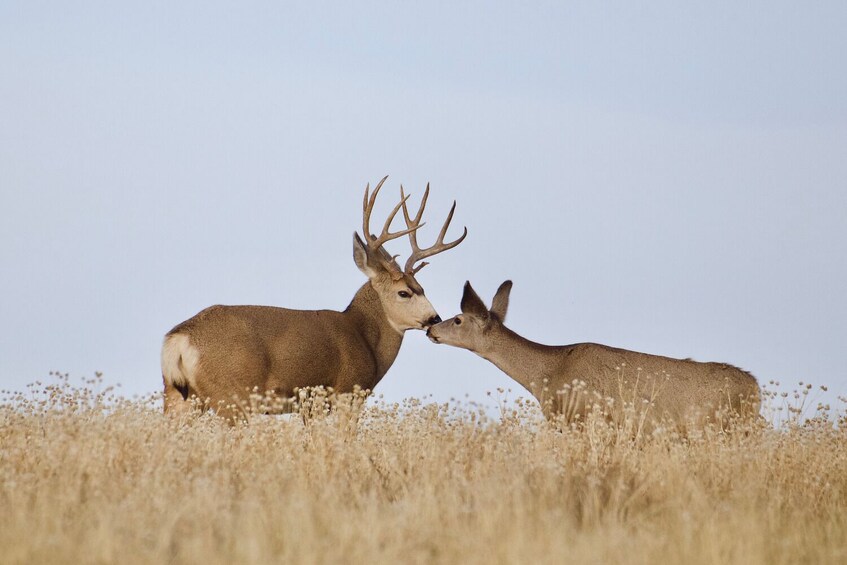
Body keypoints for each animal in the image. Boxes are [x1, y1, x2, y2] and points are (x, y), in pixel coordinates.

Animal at [162, 176, 468, 418]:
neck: (363, 336)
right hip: (232, 396)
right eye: (404, 292)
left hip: (179, 397)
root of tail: (179, 338)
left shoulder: (310, 404)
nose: (434, 318)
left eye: (422, 287)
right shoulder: (347, 391)